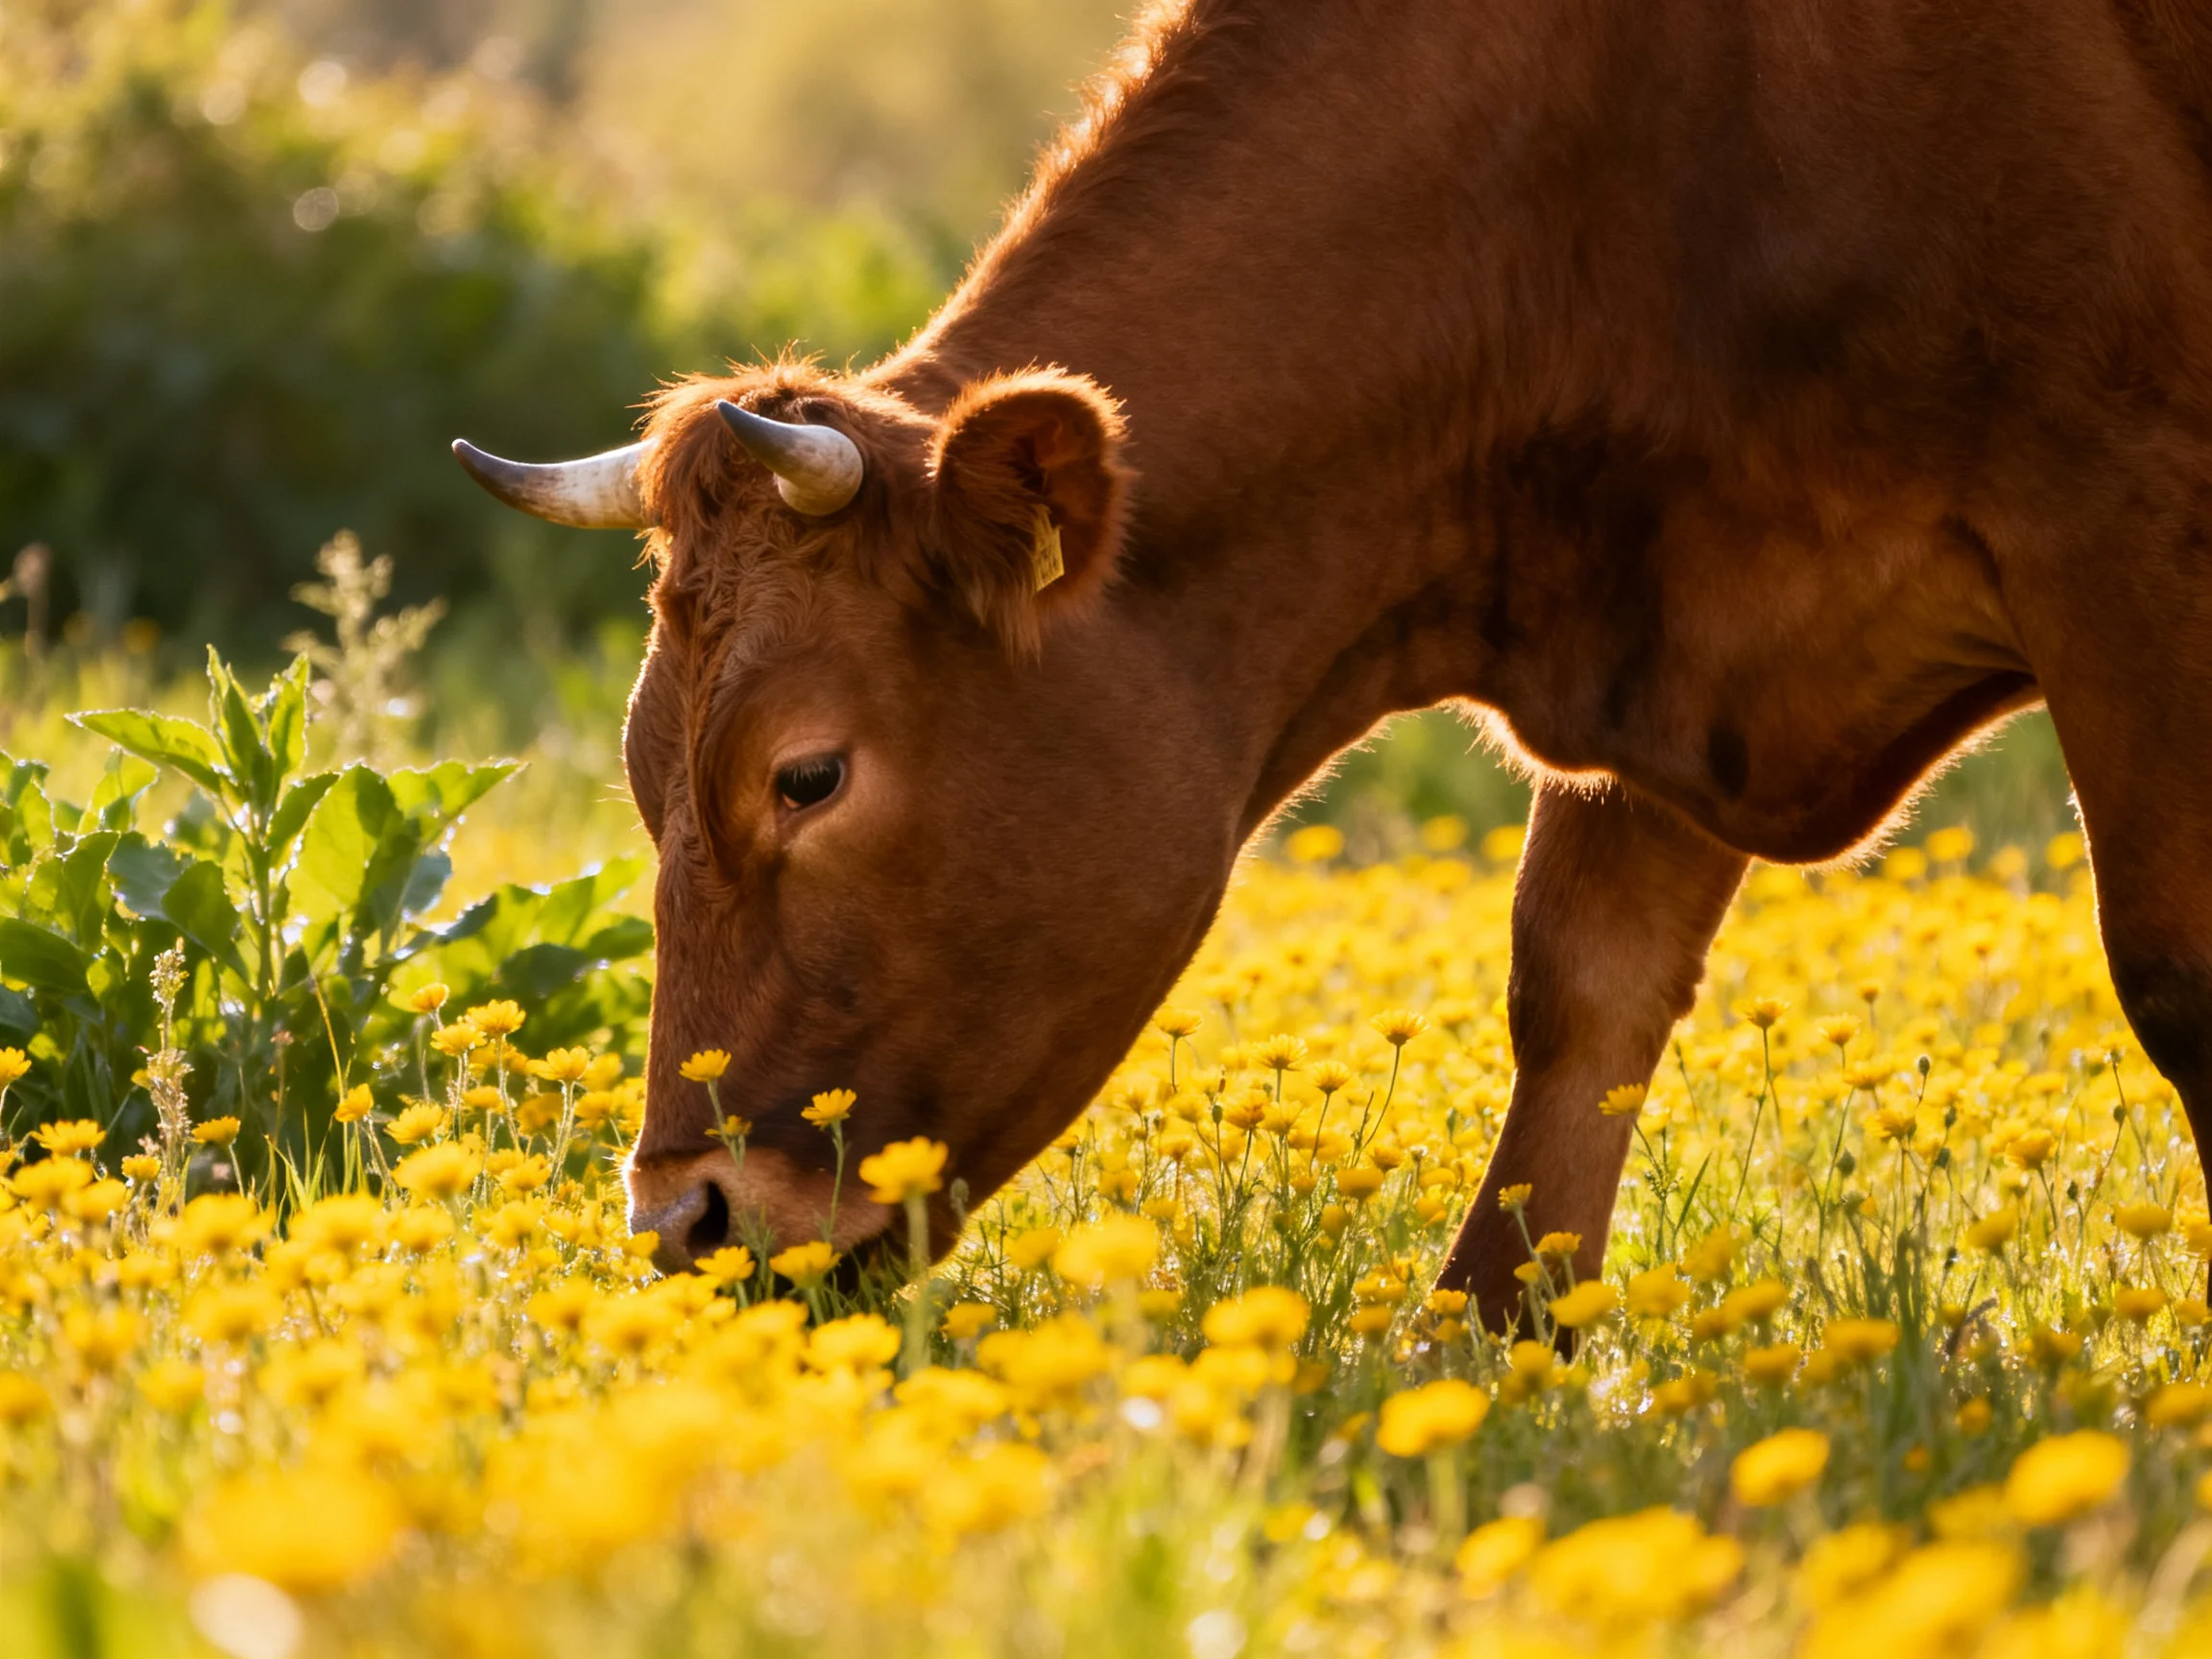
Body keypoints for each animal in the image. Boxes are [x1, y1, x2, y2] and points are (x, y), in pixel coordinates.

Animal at [455, 0, 2212, 1332]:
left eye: (807, 774)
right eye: (640, 777)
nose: (682, 1218)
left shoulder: (2125, 529)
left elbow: (2177, 979)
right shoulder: (1675, 621)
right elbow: (1582, 996)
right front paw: (1488, 1352)